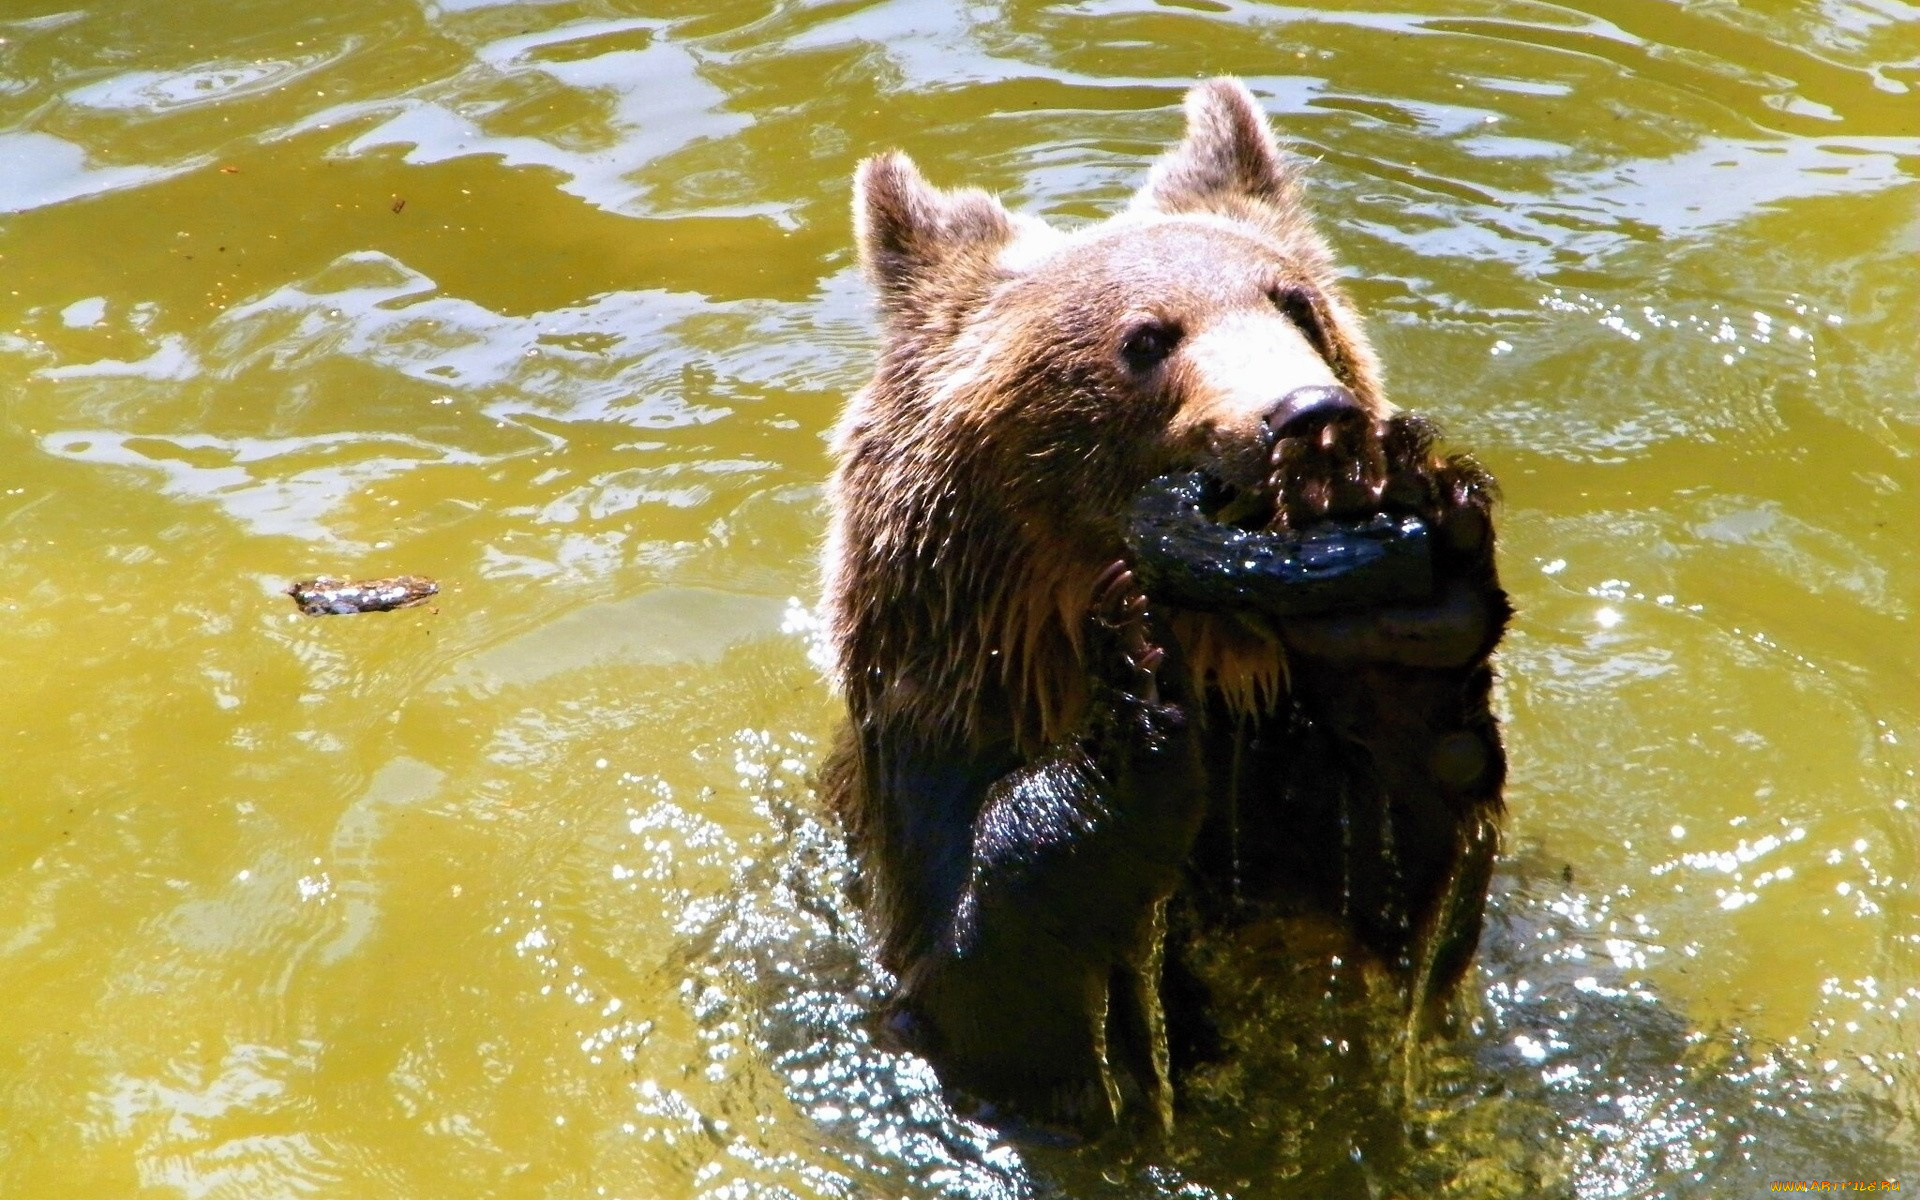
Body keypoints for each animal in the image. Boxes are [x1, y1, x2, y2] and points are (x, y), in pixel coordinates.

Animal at [819, 78, 1509, 1140]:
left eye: (1296, 304)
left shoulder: (1285, 776)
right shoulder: (925, 763)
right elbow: (992, 986)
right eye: (1146, 337)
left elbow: (1413, 891)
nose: (1309, 415)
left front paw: (1408, 629)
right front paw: (1133, 700)